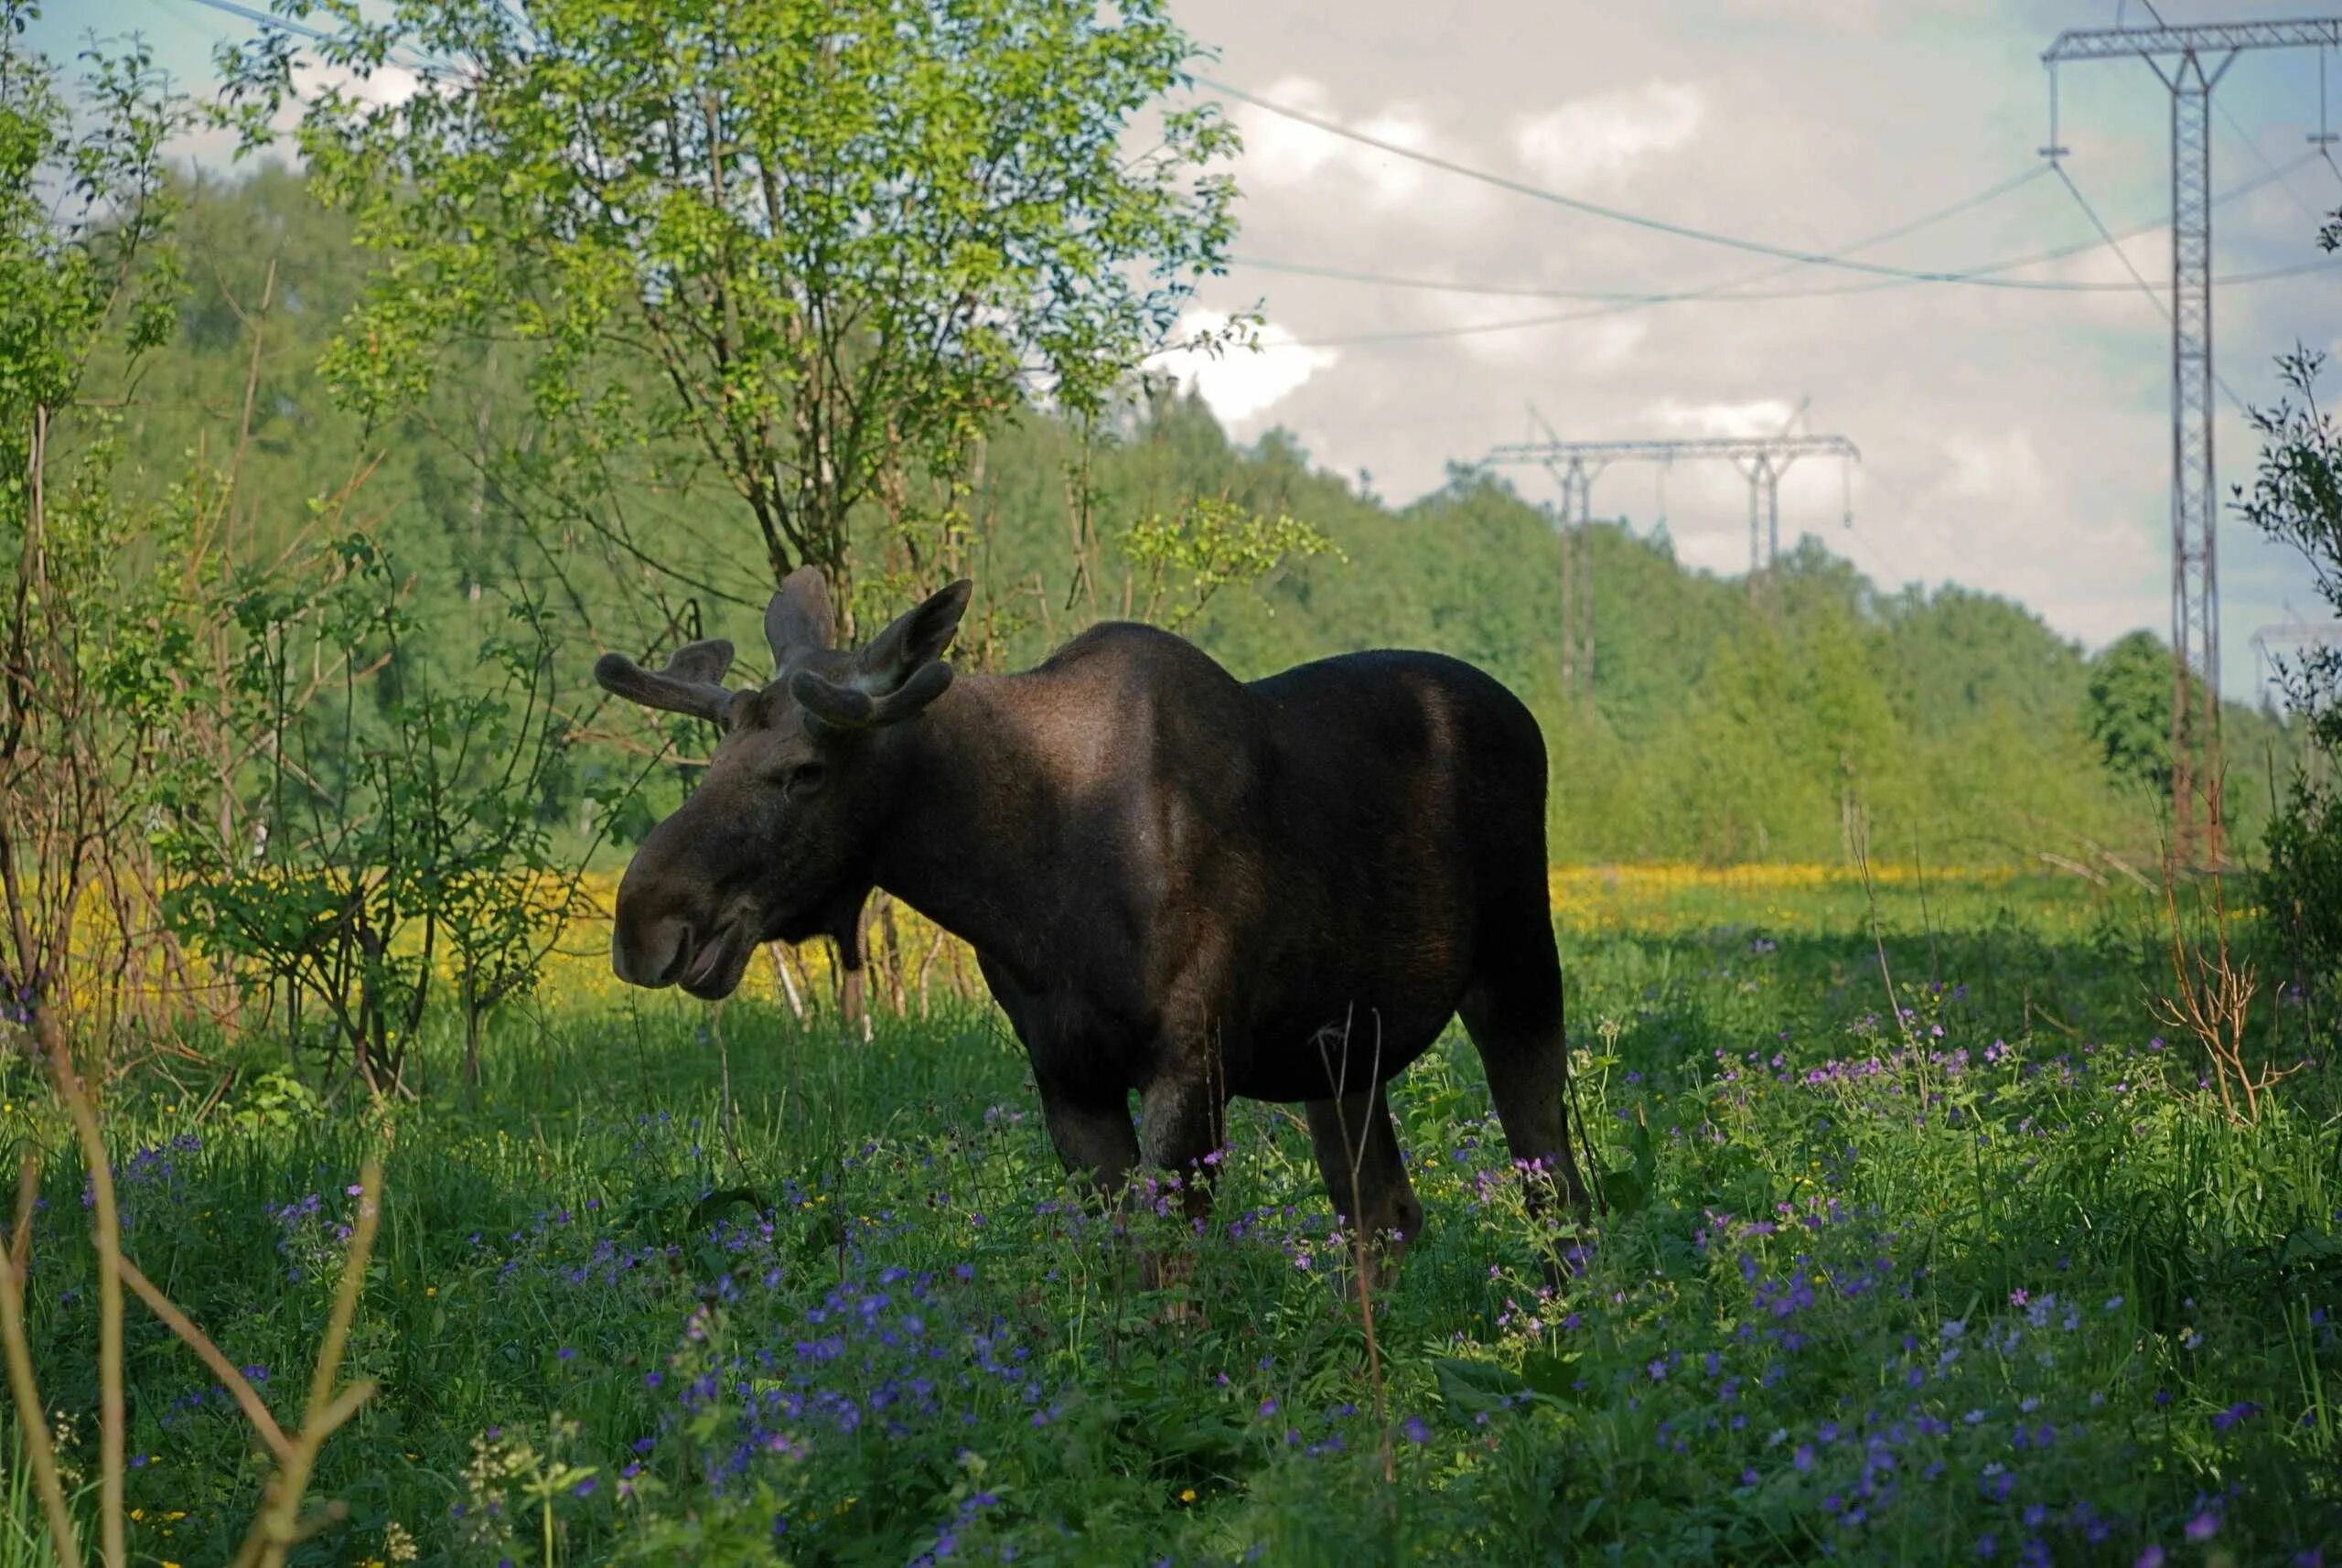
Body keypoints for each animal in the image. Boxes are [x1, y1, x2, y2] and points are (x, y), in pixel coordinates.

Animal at [595, 577, 1602, 1273]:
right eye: (715, 755)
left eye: (805, 772)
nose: (644, 921)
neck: (1023, 882)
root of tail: (1527, 717)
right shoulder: (1066, 1073)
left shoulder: (1191, 1061)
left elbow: (1175, 1278)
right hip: (1340, 1053)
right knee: (1385, 1214)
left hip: (1519, 967)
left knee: (1558, 1189)